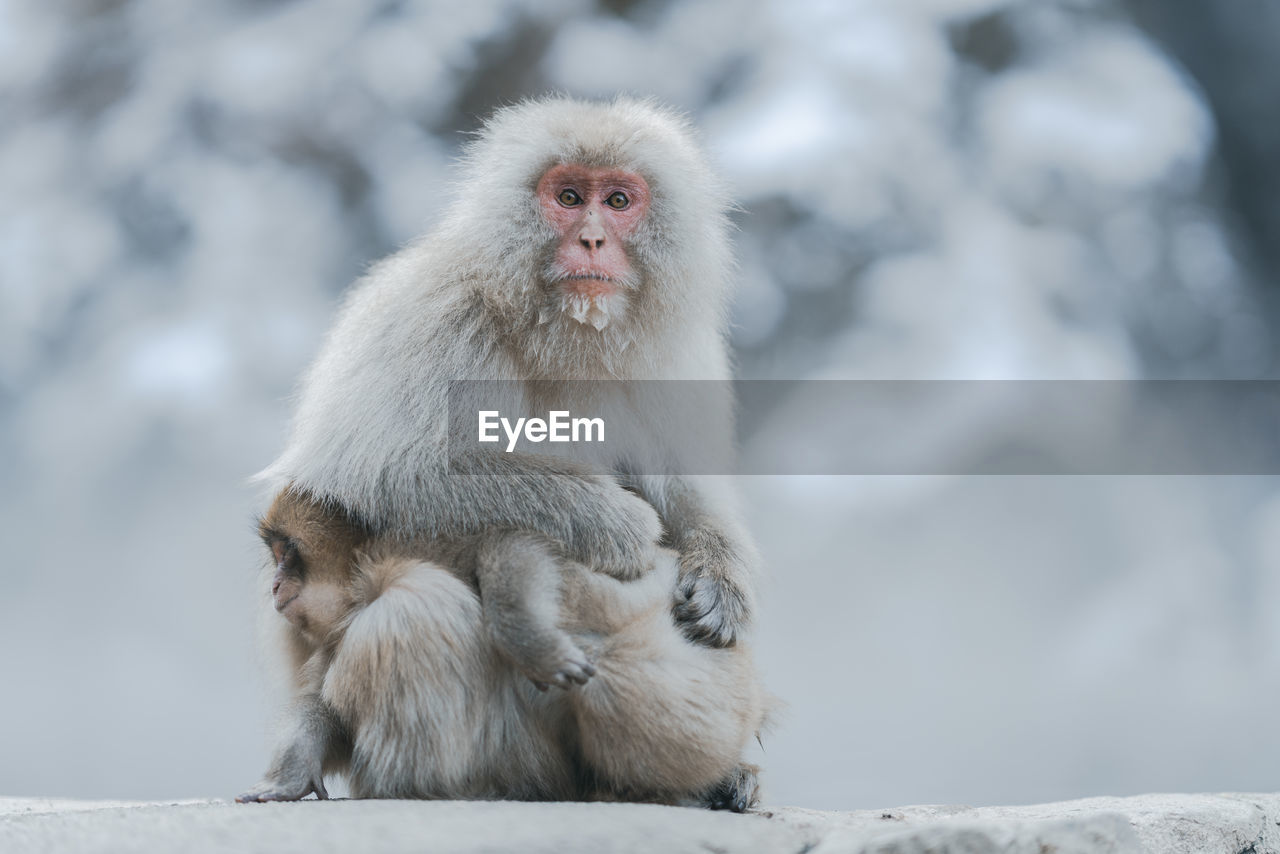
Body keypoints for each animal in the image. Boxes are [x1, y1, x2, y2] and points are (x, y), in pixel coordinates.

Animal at [239, 491, 757, 814]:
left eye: (287, 555)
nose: (275, 585)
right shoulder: (333, 633)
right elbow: (328, 711)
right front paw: (293, 769)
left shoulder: (416, 547)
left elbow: (515, 543)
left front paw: (532, 639)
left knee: (410, 608)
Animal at [263, 98, 752, 647]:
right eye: (568, 197)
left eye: (618, 200)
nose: (592, 238)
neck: (566, 336)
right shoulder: (435, 318)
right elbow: (385, 472)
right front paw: (610, 521)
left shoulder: (681, 357)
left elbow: (688, 480)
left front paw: (719, 572)